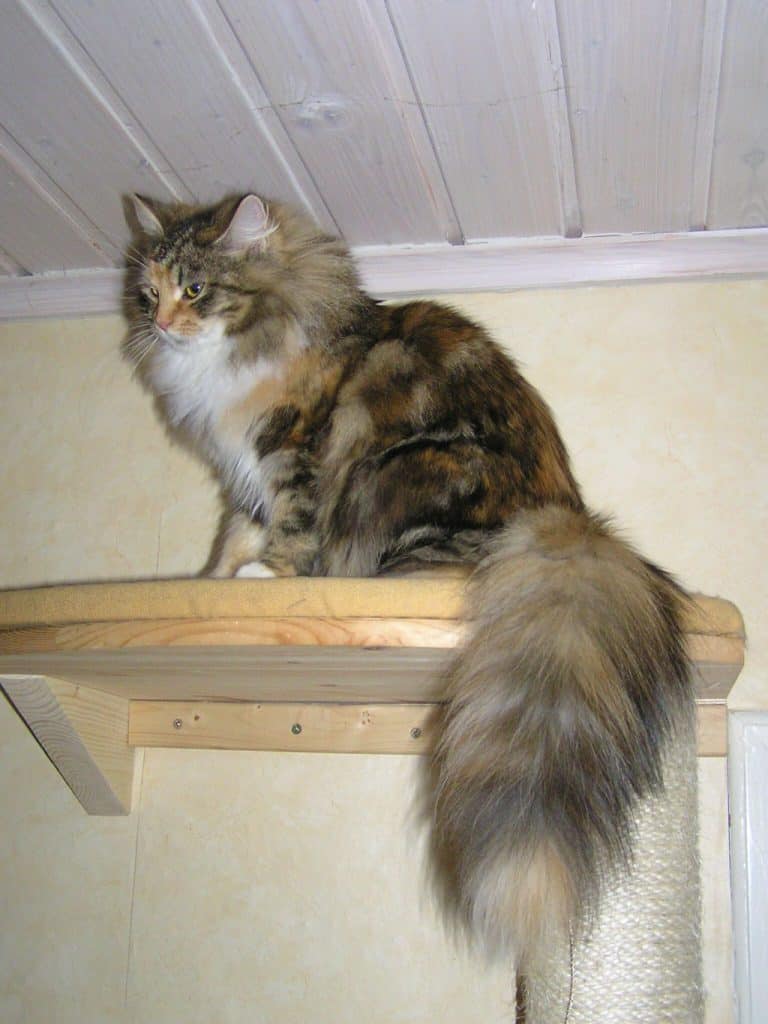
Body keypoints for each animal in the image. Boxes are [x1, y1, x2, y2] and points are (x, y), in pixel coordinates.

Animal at [124, 193, 692, 966]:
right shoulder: (243, 479)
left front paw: (264, 577)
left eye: (196, 289)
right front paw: (209, 584)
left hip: (399, 472)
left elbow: (288, 533)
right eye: (148, 292)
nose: (158, 324)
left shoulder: (292, 451)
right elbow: (232, 535)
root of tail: (566, 522)